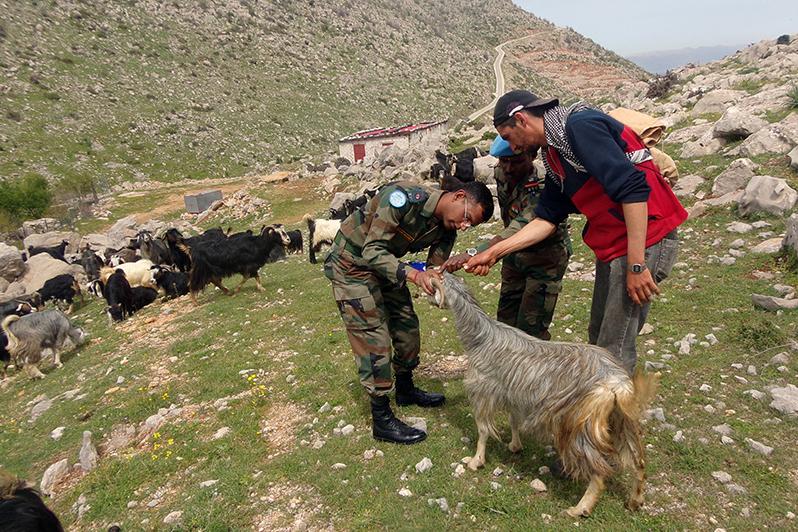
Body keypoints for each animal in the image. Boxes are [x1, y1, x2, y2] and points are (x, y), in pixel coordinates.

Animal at [430, 273, 658, 518]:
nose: (417, 293)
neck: (480, 338)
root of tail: (618, 384)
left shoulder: (482, 391)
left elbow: (483, 430)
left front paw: (476, 461)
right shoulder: (515, 394)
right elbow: (514, 420)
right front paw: (515, 446)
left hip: (581, 425)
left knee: (599, 472)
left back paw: (580, 508)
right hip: (621, 419)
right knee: (638, 461)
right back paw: (635, 501)